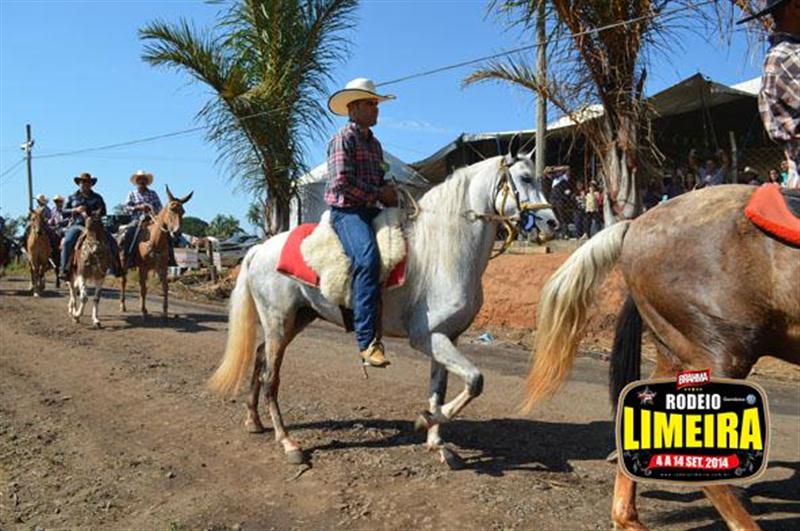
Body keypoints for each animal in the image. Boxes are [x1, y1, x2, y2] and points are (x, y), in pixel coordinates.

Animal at [119, 186, 193, 320]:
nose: (177, 232)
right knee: (124, 282)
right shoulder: (143, 267)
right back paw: (123, 305)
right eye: (171, 209)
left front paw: (165, 312)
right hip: (125, 264)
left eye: (183, 211)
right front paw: (143, 311)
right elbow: (143, 288)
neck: (154, 241)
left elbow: (164, 288)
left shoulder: (161, 267)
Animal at [208, 149, 559, 466]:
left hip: (297, 318)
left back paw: (254, 421)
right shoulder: (427, 337)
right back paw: (288, 443)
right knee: (271, 376)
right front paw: (424, 420)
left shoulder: (447, 337)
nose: (552, 223)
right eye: (525, 178)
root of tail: (260, 248)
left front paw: (437, 441)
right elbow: (475, 381)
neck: (444, 255)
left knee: (259, 357)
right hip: (279, 320)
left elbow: (439, 388)